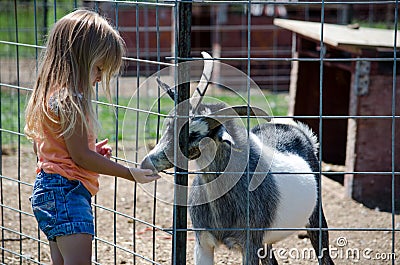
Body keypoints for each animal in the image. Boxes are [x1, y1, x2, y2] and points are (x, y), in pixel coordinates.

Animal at [141, 52, 334, 264]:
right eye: (169, 123)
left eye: (194, 135)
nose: (147, 162)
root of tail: (298, 131)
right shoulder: (203, 242)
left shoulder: (250, 243)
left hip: (315, 218)